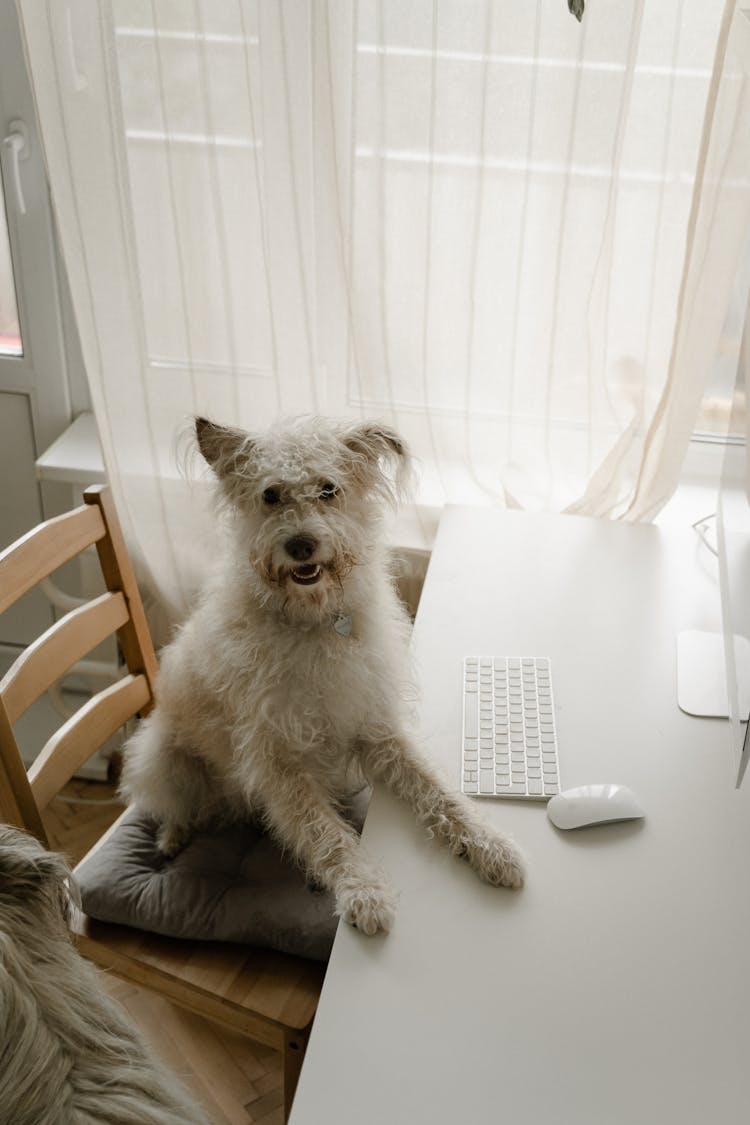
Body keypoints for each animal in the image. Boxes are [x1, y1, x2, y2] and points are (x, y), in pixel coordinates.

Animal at [120, 418, 526, 936]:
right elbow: (324, 832)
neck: (314, 623)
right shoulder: (276, 762)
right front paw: (364, 893)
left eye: (328, 489)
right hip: (163, 757)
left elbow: (438, 790)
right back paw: (172, 836)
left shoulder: (377, 727)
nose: (300, 545)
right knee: (169, 802)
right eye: (270, 494)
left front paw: (491, 845)